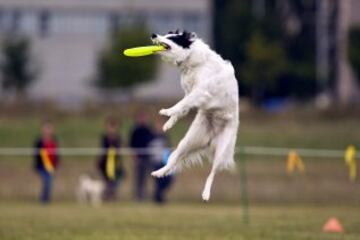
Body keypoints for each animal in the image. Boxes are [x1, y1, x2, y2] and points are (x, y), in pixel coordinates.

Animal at [150, 31, 239, 202]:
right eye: (166, 34)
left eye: (172, 38)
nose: (153, 35)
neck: (191, 60)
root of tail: (211, 138)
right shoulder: (190, 93)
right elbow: (182, 107)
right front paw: (169, 123)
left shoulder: (200, 91)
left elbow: (181, 104)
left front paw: (167, 111)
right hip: (187, 142)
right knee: (174, 160)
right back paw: (160, 172)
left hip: (221, 150)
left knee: (212, 173)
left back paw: (206, 193)